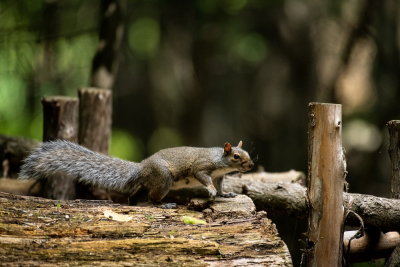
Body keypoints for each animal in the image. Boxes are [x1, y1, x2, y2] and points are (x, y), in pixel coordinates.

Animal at [18, 140, 253, 203]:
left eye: (248, 152)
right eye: (236, 156)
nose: (250, 166)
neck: (219, 160)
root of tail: (141, 168)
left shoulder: (220, 176)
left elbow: (221, 186)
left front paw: (225, 194)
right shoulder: (202, 168)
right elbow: (203, 178)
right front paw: (211, 191)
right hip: (164, 179)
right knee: (152, 198)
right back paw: (164, 204)